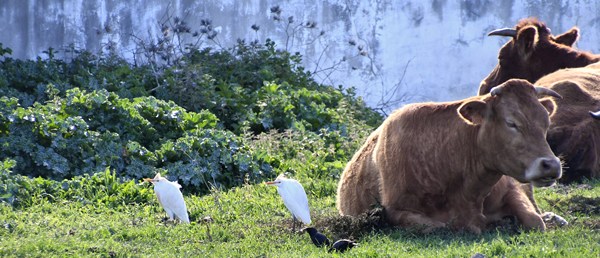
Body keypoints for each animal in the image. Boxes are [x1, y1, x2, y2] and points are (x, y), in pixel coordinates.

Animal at [338, 78, 564, 234]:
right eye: (511, 123)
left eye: (546, 122)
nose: (551, 165)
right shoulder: (394, 209)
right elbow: (438, 226)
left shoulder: (511, 189)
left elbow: (535, 221)